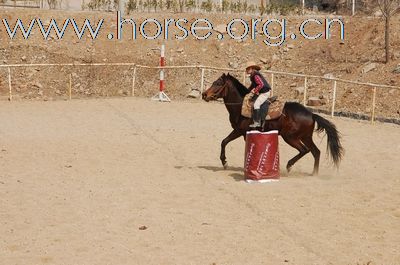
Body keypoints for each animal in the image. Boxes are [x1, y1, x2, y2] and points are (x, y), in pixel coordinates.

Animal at [202, 72, 346, 175]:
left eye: (218, 83)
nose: (204, 94)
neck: (240, 105)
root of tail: (311, 114)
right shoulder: (241, 132)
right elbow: (224, 142)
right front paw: (225, 162)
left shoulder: (241, 132)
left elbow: (228, 143)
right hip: (305, 137)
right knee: (316, 152)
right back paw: (314, 173)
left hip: (291, 137)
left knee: (304, 150)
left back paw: (289, 166)